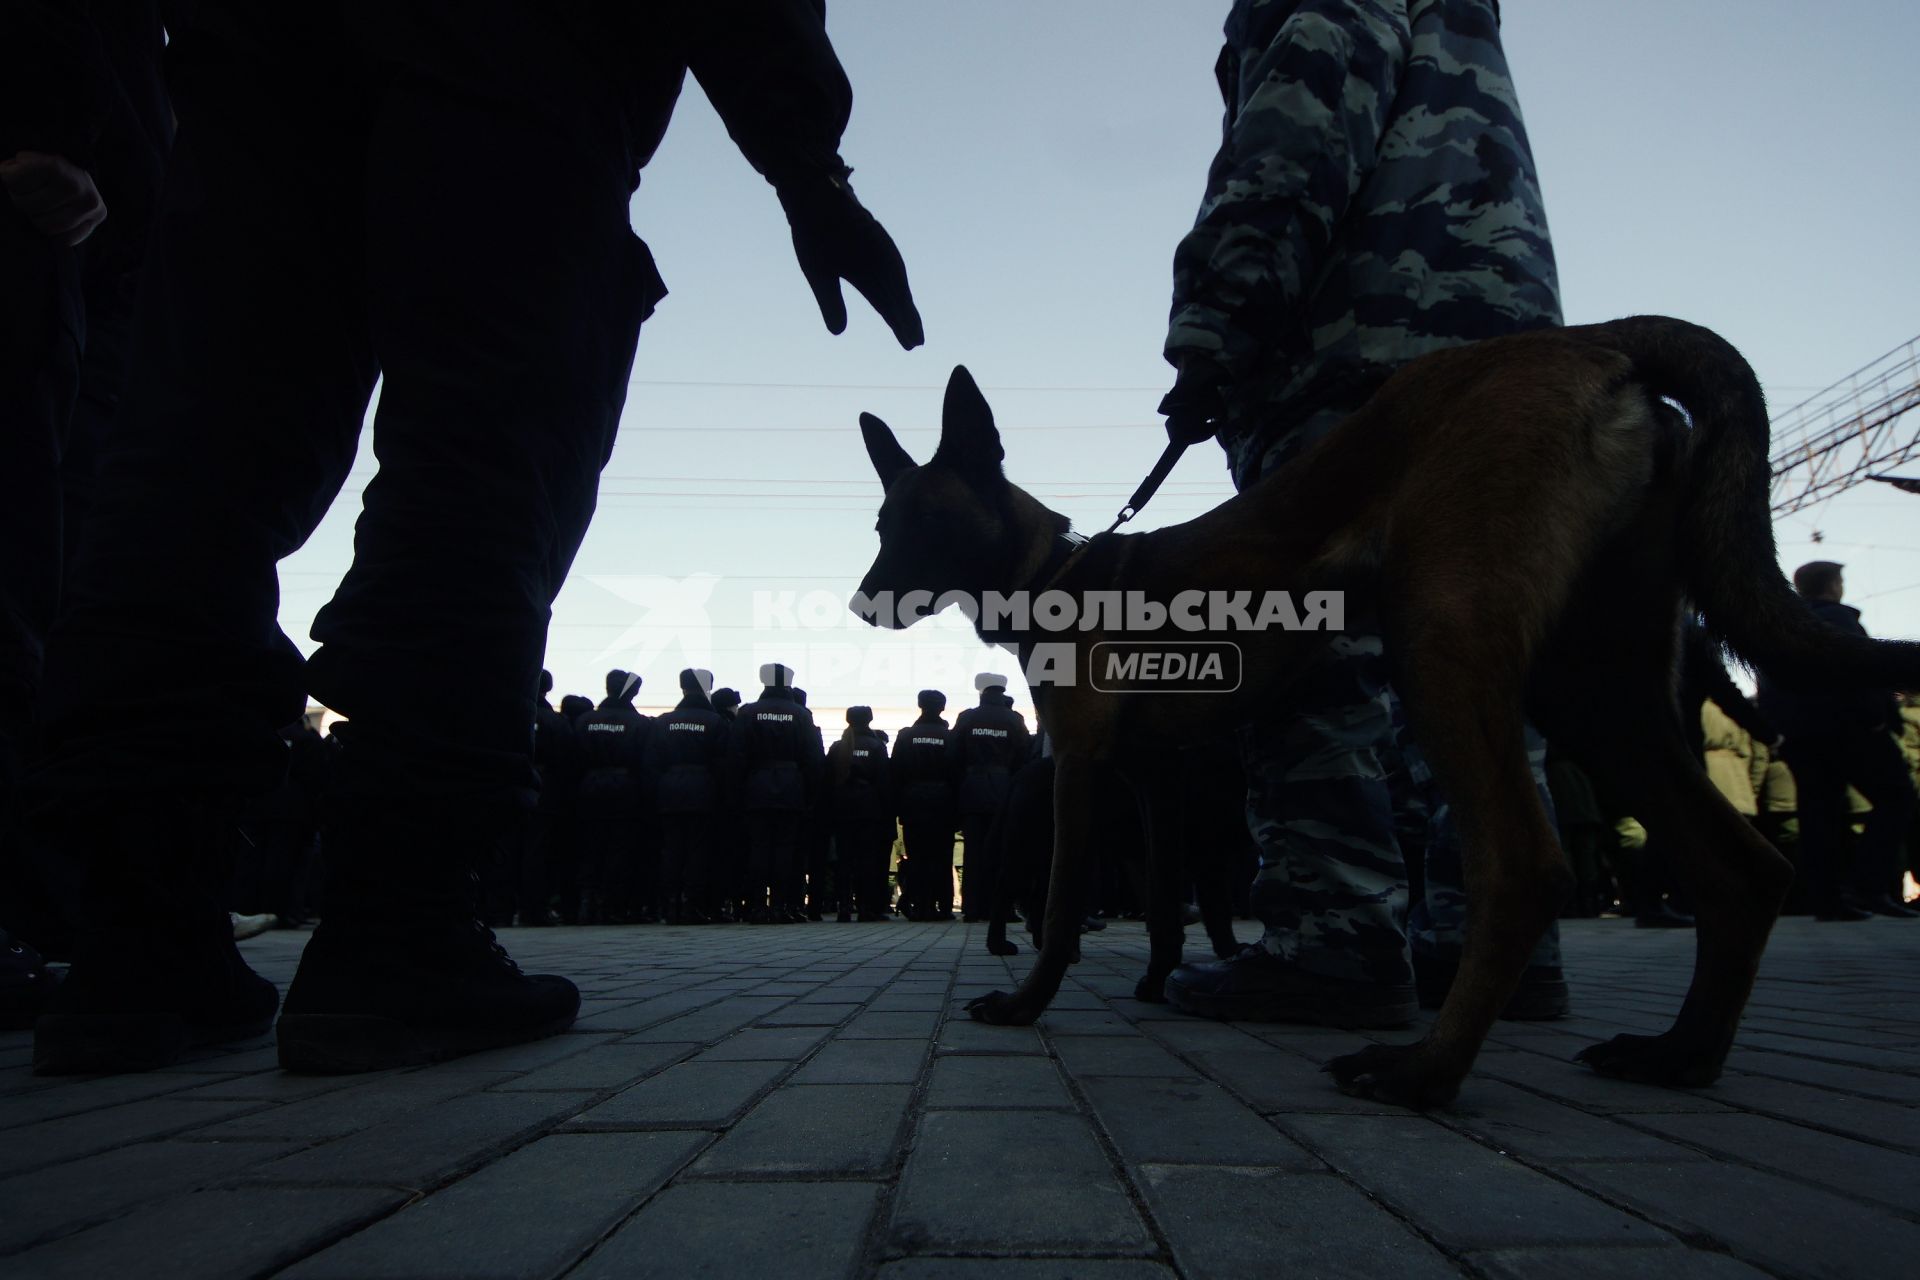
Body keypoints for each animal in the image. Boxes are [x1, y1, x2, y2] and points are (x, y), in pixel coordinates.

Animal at [860, 314, 1920, 1105]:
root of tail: (1591, 341)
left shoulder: (1082, 769)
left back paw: (1425, 1071)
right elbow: (1160, 905)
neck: (1062, 576)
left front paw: (1027, 1003)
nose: (862, 603)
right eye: (880, 522)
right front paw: (1160, 981)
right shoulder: (1161, 787)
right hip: (1598, 688)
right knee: (1741, 869)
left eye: (915, 522)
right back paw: (1678, 1054)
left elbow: (1060, 908)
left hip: (1444, 644)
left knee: (1525, 866)